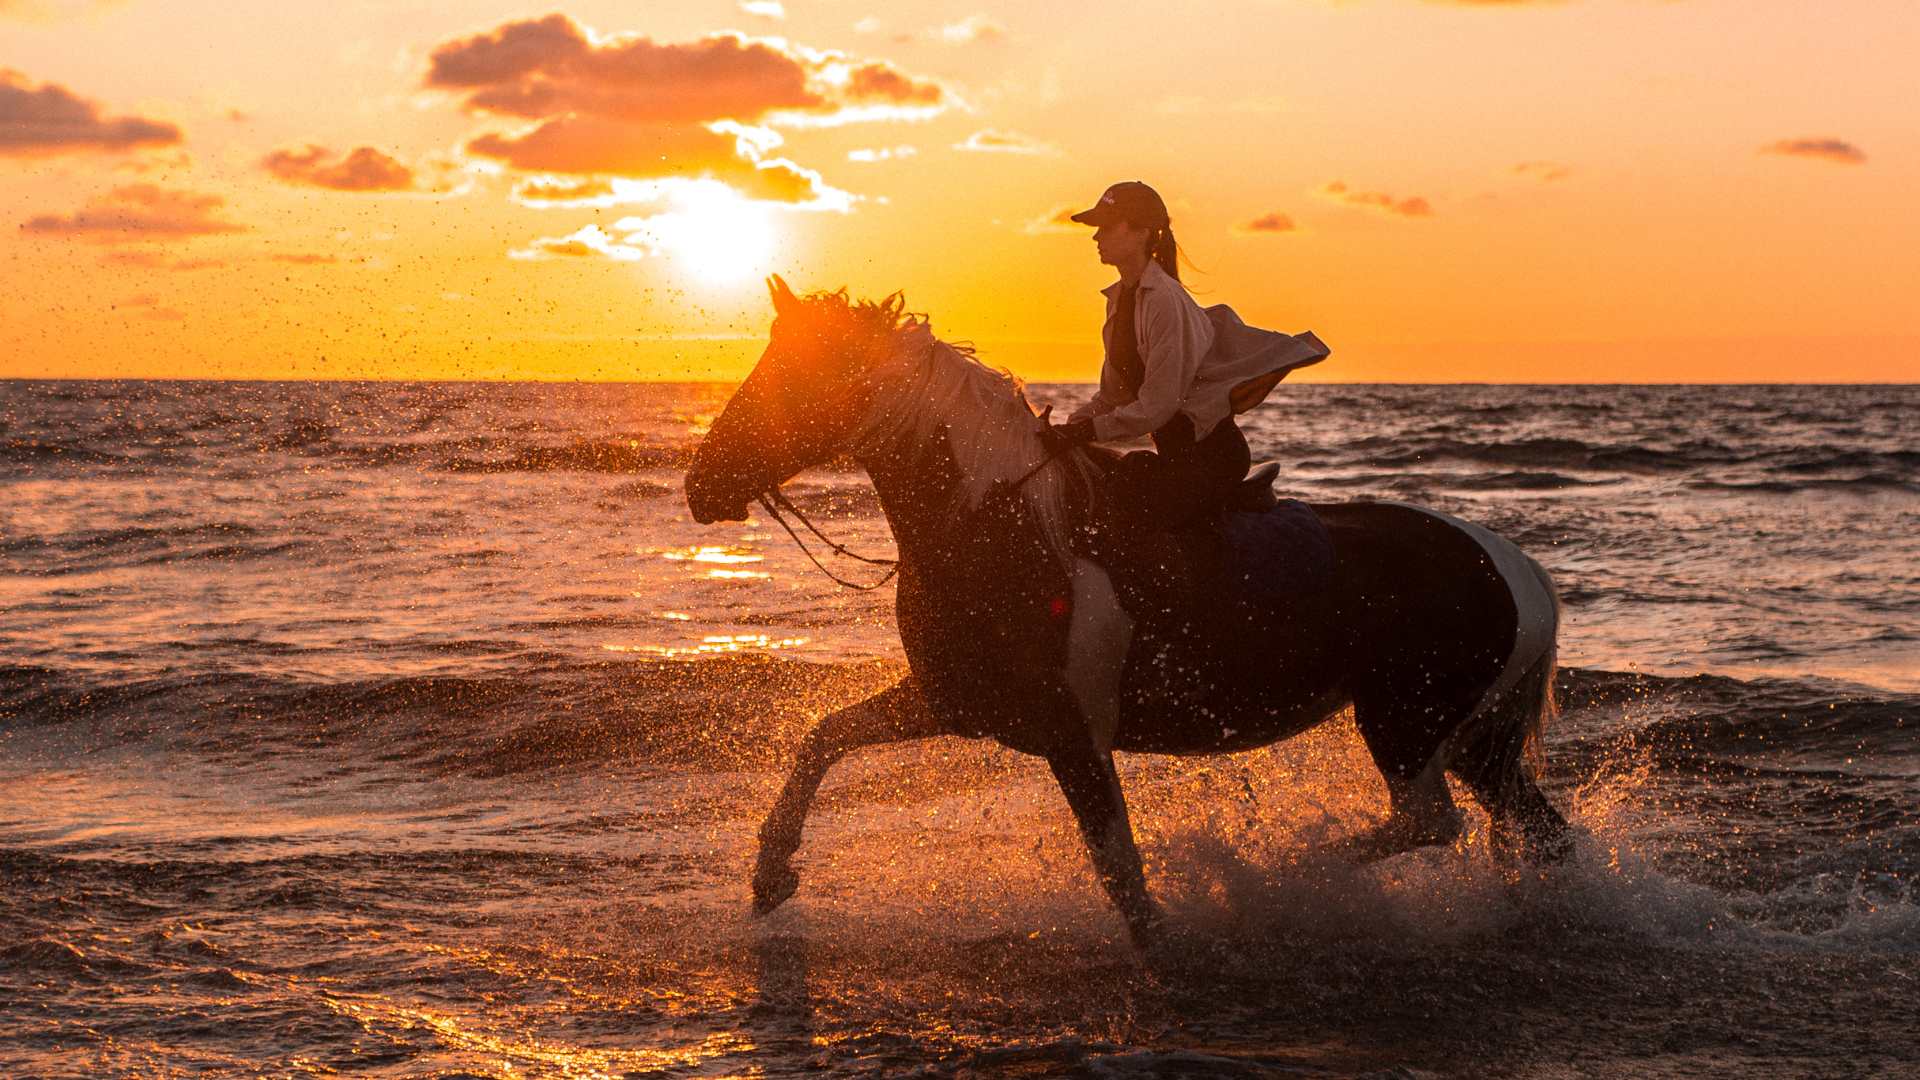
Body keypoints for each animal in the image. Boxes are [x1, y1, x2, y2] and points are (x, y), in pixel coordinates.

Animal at [684, 277, 1572, 947]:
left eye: (797, 376)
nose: (701, 486)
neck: (1001, 527)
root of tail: (1516, 565)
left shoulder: (1073, 738)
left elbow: (1123, 875)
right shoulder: (955, 703)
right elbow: (825, 737)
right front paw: (770, 875)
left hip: (1407, 725)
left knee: (1427, 821)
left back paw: (1282, 874)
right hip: (1474, 739)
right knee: (1536, 830)